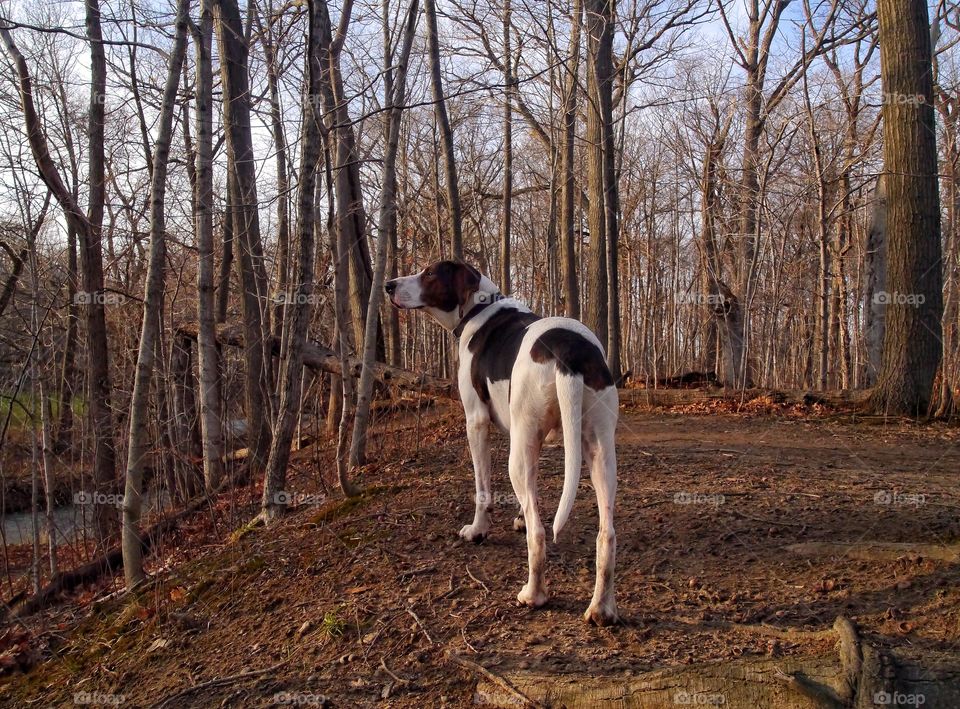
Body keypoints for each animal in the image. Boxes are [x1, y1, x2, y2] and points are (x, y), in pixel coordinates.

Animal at [386, 262, 620, 624]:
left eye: (429, 274)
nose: (388, 285)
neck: (480, 308)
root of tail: (569, 349)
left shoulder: (476, 422)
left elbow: (482, 490)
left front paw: (478, 530)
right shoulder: (523, 439)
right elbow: (529, 501)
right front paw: (520, 516)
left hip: (518, 458)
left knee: (539, 535)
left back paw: (533, 595)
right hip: (599, 453)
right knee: (606, 535)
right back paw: (601, 608)